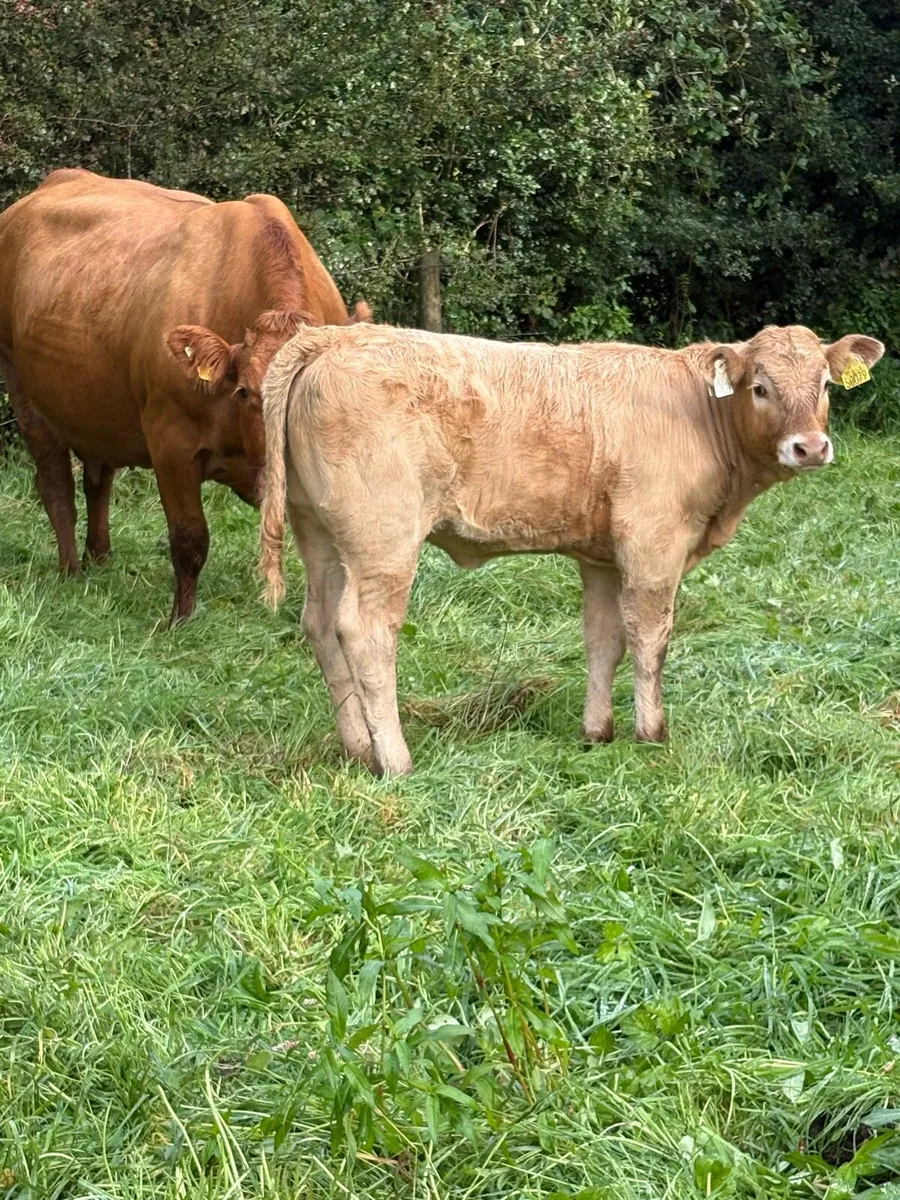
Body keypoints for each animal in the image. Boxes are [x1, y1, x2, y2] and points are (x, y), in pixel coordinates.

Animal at [0, 168, 369, 623]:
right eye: (245, 392)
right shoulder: (171, 443)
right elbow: (189, 539)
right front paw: (180, 619)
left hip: (98, 408)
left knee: (98, 479)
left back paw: (100, 557)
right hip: (24, 389)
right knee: (56, 485)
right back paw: (71, 572)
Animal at [257, 321, 884, 777]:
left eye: (825, 385)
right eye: (760, 387)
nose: (810, 447)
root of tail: (335, 335)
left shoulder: (601, 558)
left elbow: (603, 642)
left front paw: (597, 732)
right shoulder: (653, 547)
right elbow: (650, 642)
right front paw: (651, 735)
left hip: (321, 536)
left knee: (320, 624)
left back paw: (358, 748)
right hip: (383, 542)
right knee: (365, 633)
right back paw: (394, 759)